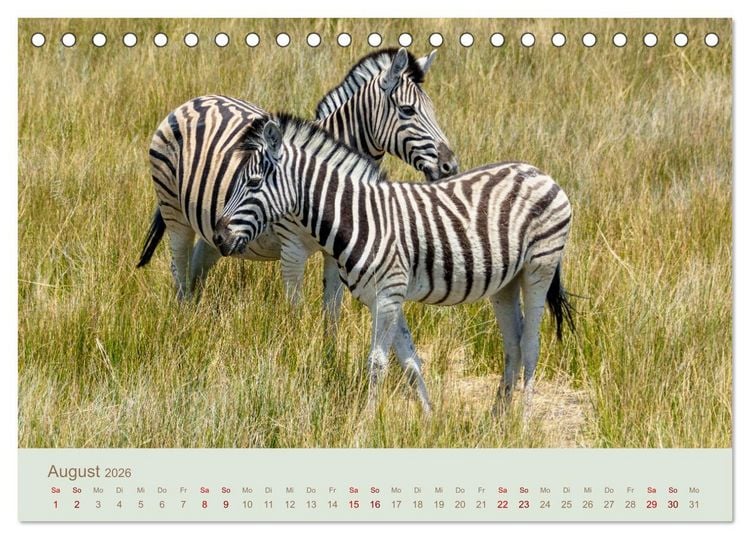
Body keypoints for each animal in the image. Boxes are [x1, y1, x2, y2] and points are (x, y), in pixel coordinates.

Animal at [137, 48, 458, 324]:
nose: (450, 167)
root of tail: (192, 101)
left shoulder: (335, 253)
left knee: (195, 271)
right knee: (179, 269)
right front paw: (294, 353)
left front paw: (330, 356)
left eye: (432, 109)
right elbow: (295, 314)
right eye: (407, 110)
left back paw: (194, 322)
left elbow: (332, 314)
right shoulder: (292, 250)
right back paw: (181, 323)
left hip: (212, 229)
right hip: (174, 212)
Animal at [213, 116, 574, 415]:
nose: (218, 237)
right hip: (505, 282)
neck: (358, 218)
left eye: (254, 183)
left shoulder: (387, 295)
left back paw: (522, 420)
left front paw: (366, 422)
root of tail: (540, 173)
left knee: (530, 344)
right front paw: (429, 419)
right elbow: (410, 361)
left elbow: (377, 363)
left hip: (539, 267)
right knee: (513, 343)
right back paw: (497, 419)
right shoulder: (385, 298)